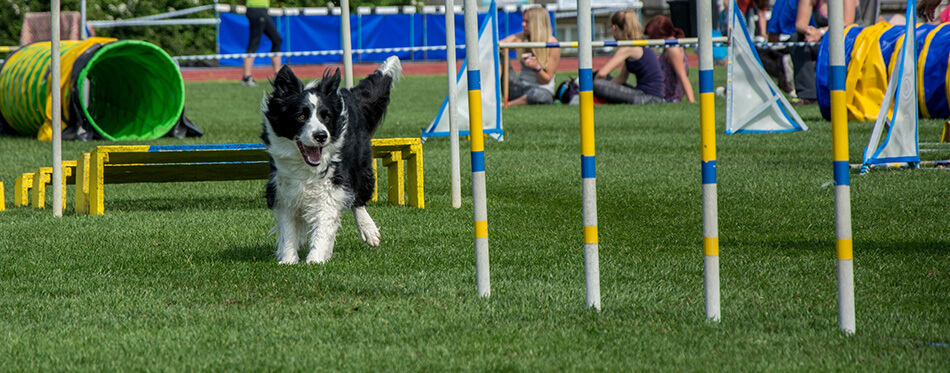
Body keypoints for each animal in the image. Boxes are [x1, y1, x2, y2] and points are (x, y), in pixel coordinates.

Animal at [260, 56, 402, 264]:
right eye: (301, 116)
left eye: (326, 117)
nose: (321, 136)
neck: (306, 167)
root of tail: (347, 93)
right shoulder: (282, 187)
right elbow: (288, 227)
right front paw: (288, 260)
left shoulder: (331, 186)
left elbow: (324, 223)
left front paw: (315, 259)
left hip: (360, 164)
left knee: (358, 197)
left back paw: (369, 230)